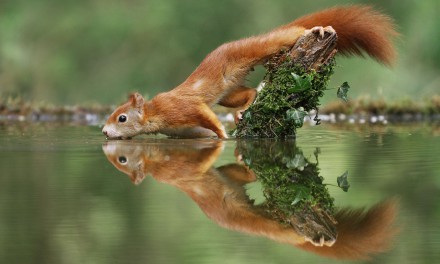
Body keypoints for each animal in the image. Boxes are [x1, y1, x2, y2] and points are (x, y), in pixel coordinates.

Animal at [101, 5, 398, 139]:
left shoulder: (183, 108)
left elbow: (206, 116)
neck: (157, 115)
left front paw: (223, 135)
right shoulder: (183, 131)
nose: (103, 132)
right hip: (229, 93)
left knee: (286, 37)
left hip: (259, 48)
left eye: (122, 118)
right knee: (252, 92)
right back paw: (242, 110)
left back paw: (316, 29)